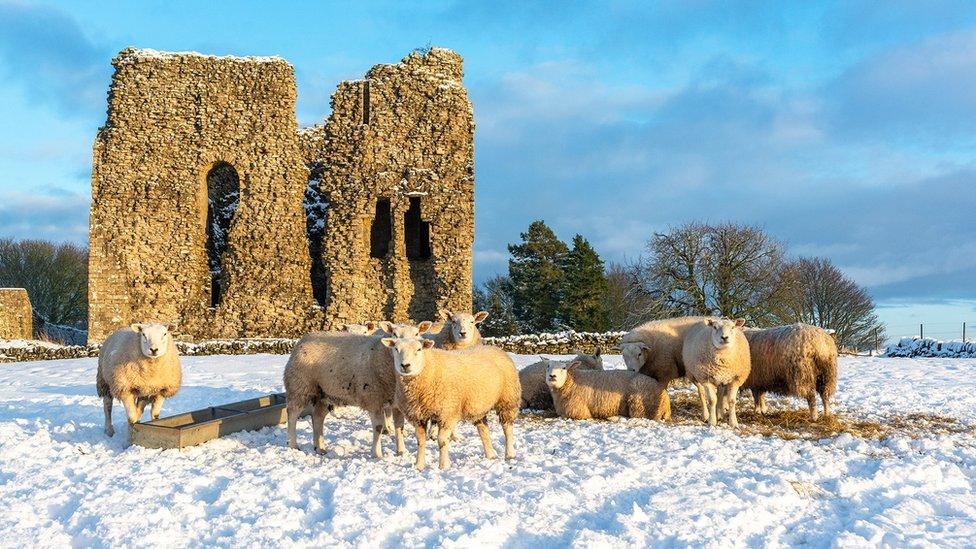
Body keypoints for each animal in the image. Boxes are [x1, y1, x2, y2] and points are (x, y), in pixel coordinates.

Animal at [382, 336, 524, 468]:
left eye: (419, 349)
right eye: (396, 349)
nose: (405, 366)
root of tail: (495, 348)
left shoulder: (447, 413)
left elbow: (442, 440)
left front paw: (443, 465)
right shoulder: (418, 415)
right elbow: (420, 441)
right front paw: (419, 466)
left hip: (508, 398)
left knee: (507, 428)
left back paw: (509, 454)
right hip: (477, 405)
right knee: (483, 429)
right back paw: (490, 455)